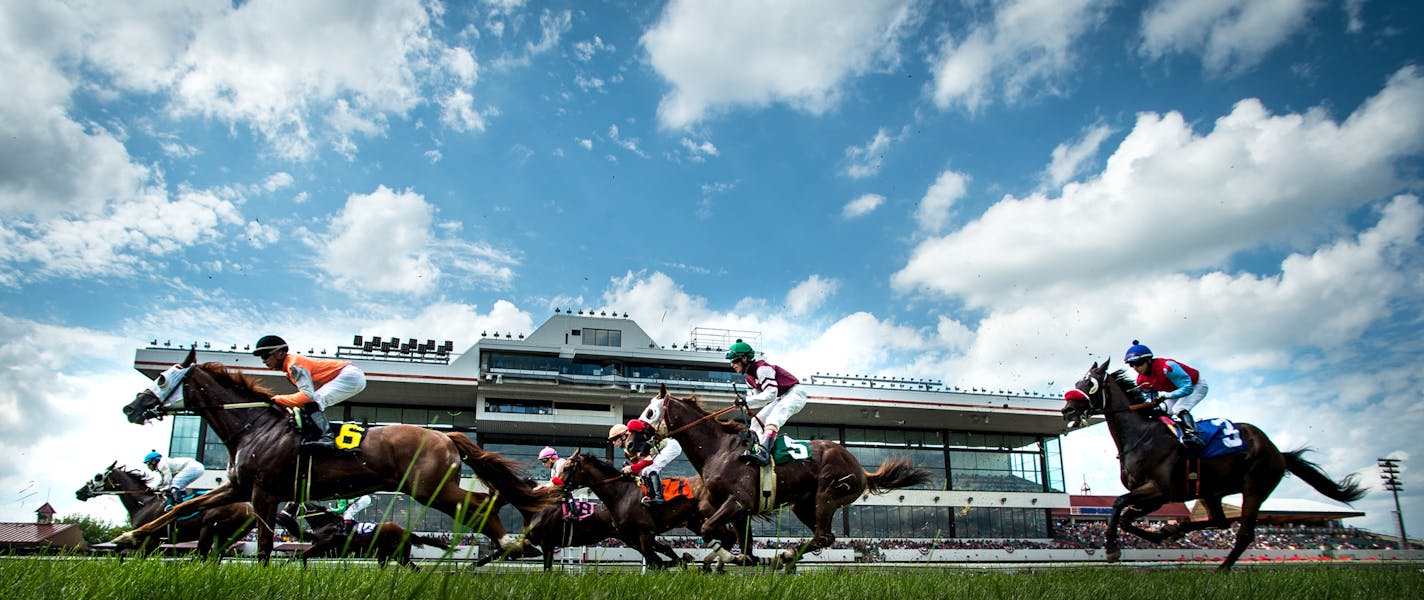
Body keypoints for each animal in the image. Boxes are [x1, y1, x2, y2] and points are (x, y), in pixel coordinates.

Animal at [74, 461, 256, 558]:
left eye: (98, 476)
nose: (79, 492)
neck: (144, 503)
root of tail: (249, 509)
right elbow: (120, 551)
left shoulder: (152, 540)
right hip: (227, 536)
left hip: (209, 529)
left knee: (202, 557)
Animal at [274, 501, 447, 567]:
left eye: (291, 504)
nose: (279, 517)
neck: (327, 524)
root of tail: (405, 531)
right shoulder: (321, 550)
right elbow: (299, 556)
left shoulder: (322, 548)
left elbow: (297, 556)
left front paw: (281, 568)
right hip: (387, 556)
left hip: (400, 555)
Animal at [652, 384, 928, 570]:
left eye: (650, 413)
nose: (640, 436)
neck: (719, 449)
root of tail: (860, 468)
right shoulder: (738, 510)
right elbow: (743, 545)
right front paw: (735, 560)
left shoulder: (739, 502)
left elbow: (710, 530)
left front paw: (730, 559)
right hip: (803, 505)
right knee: (825, 537)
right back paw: (785, 558)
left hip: (828, 495)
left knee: (822, 536)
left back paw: (785, 556)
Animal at [1065, 360, 1361, 570]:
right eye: (1077, 380)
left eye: (1090, 384)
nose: (1067, 409)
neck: (1141, 435)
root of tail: (1278, 452)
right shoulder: (1156, 497)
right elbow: (1126, 518)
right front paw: (1162, 534)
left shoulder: (1160, 489)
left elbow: (1117, 505)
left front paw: (1112, 547)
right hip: (1211, 491)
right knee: (1220, 521)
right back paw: (1179, 532)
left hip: (1254, 488)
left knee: (1244, 533)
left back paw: (1222, 569)